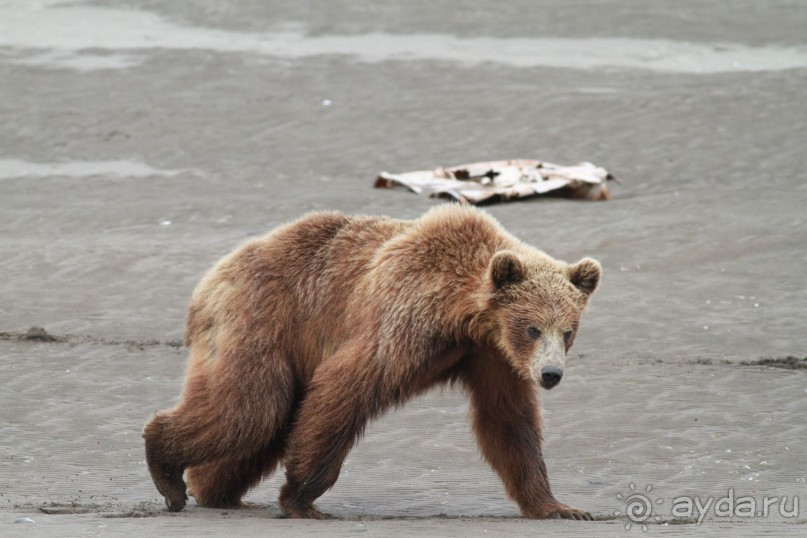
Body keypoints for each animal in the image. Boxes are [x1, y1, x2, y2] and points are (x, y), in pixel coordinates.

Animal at [144, 202, 600, 520]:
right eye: (533, 328)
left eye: (568, 330)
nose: (551, 374)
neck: (464, 314)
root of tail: (215, 273)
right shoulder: (404, 317)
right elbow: (345, 386)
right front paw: (302, 498)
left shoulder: (492, 358)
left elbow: (508, 422)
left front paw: (560, 507)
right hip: (263, 318)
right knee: (250, 408)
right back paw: (166, 467)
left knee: (265, 423)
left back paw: (213, 488)